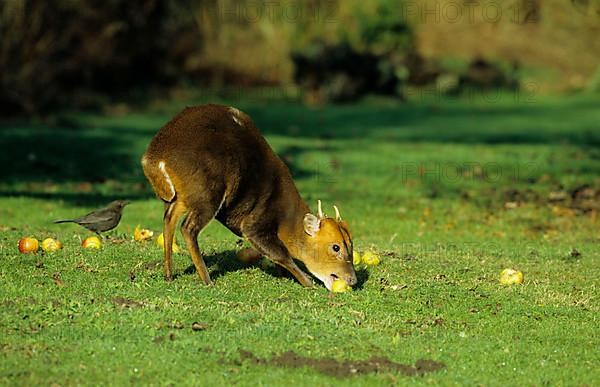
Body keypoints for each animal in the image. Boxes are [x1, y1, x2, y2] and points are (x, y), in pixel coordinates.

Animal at [141, 104, 356, 290]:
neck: (286, 217)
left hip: (182, 196)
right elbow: (280, 253)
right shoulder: (255, 221)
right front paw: (307, 282)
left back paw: (168, 274)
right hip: (207, 191)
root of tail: (153, 159)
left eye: (351, 244)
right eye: (335, 247)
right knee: (188, 228)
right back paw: (207, 279)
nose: (352, 279)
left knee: (169, 219)